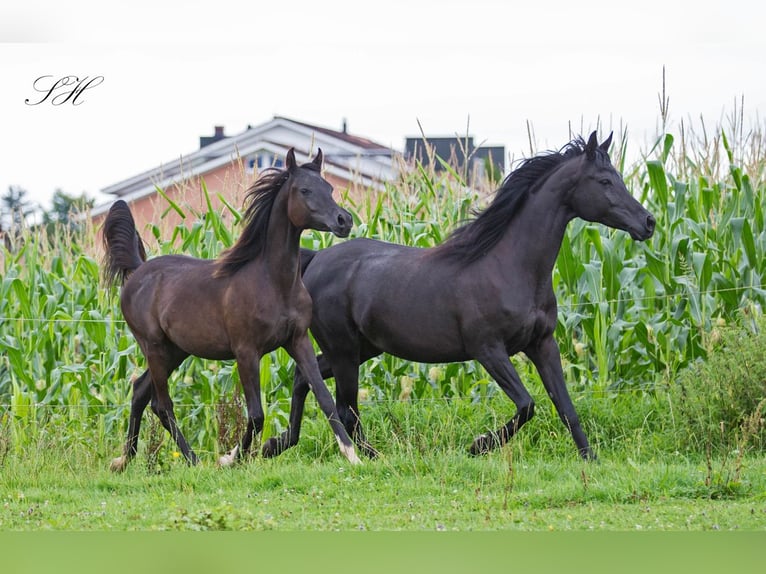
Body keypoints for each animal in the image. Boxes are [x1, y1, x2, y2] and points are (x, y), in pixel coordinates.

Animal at [103, 148, 364, 472]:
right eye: (305, 190)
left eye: (328, 188)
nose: (344, 220)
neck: (273, 283)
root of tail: (138, 271)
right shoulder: (246, 352)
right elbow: (257, 413)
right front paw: (230, 457)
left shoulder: (298, 341)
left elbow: (325, 398)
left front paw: (352, 455)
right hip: (153, 347)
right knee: (161, 404)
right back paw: (193, 461)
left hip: (175, 351)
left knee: (139, 392)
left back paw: (123, 460)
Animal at [266, 132, 660, 464]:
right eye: (605, 181)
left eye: (618, 176)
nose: (649, 222)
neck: (509, 266)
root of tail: (317, 260)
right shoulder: (488, 350)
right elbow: (527, 405)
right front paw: (478, 445)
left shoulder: (542, 344)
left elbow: (565, 407)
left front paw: (590, 461)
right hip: (346, 351)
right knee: (345, 407)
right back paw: (370, 459)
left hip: (362, 349)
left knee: (305, 379)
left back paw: (277, 444)